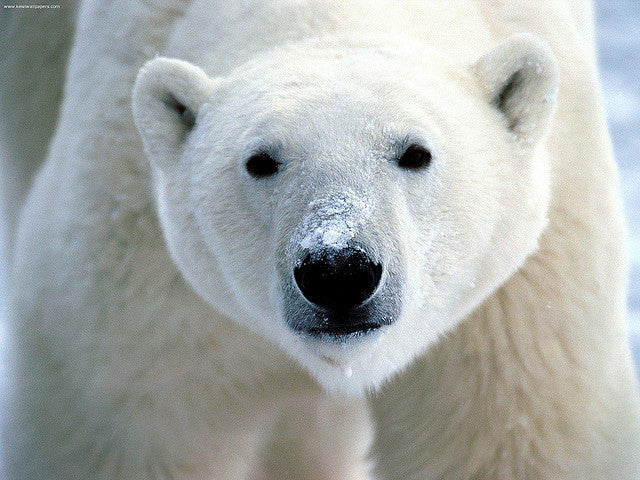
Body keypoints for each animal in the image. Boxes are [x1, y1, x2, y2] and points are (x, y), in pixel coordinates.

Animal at [1, 0, 640, 479]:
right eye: (261, 161)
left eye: (416, 152)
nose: (339, 271)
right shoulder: (136, 281)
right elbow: (126, 431)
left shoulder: (515, 308)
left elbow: (504, 442)